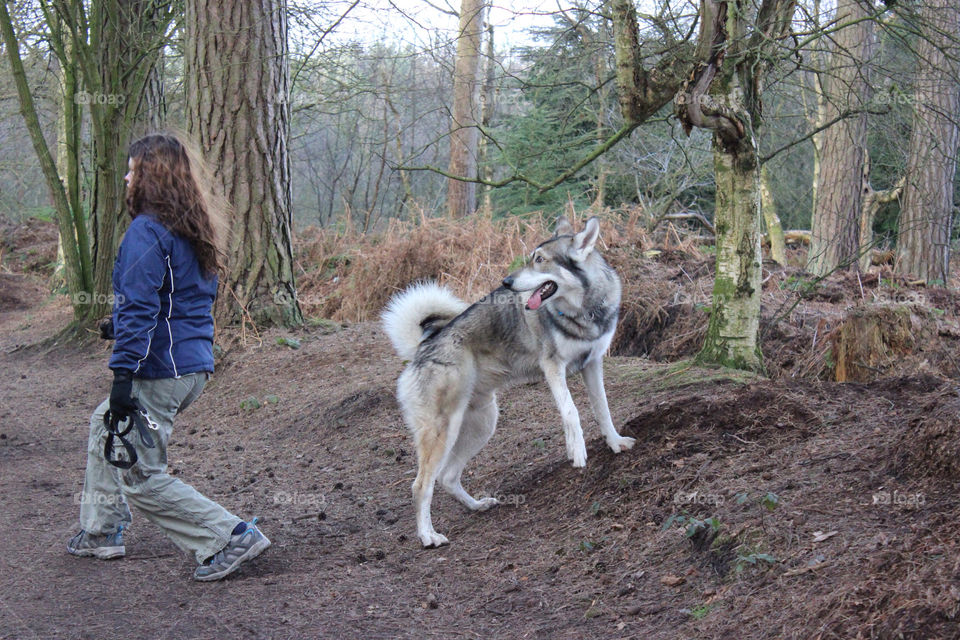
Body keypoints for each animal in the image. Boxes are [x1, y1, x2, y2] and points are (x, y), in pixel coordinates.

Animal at [382, 218, 636, 548]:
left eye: (539, 259)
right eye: (531, 257)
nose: (505, 282)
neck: (584, 309)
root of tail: (422, 347)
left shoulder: (592, 364)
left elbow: (602, 409)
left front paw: (615, 443)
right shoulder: (553, 367)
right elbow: (572, 412)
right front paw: (577, 451)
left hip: (482, 424)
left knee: (447, 477)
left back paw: (477, 505)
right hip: (442, 432)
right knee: (421, 485)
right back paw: (428, 535)